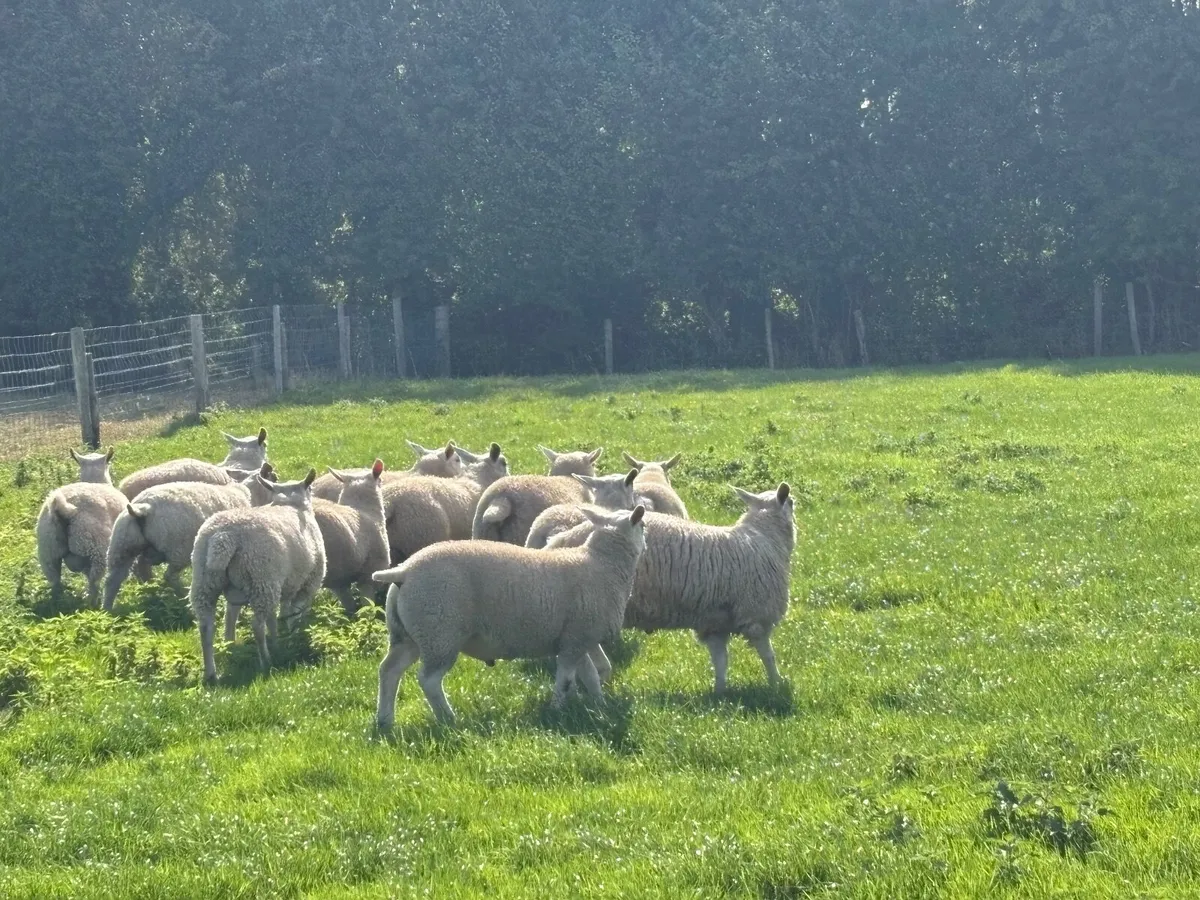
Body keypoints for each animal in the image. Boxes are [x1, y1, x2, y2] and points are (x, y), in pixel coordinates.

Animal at [35, 447, 126, 605]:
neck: (95, 480)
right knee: (94, 581)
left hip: (48, 552)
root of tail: (62, 509)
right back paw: (93, 604)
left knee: (55, 582)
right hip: (96, 549)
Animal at [102, 463, 278, 611]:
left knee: (114, 579)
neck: (250, 494)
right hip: (179, 550)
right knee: (169, 575)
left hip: (122, 546)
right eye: (274, 478)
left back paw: (109, 610)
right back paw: (181, 596)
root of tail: (143, 508)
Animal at [189, 469, 325, 682]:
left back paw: (211, 673)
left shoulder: (277, 585)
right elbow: (295, 614)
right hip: (262, 579)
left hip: (205, 580)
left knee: (205, 626)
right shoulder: (308, 583)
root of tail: (224, 536)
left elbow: (243, 616)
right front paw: (293, 637)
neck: (290, 504)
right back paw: (265, 661)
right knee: (257, 625)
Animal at [373, 504, 647, 726]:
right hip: (440, 630)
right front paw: (557, 710)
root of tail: (404, 572)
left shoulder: (576, 639)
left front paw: (598, 705)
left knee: (389, 671)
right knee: (428, 680)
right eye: (643, 526)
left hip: (409, 634)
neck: (602, 564)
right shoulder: (577, 639)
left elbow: (592, 675)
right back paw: (449, 719)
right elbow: (567, 679)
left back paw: (385, 721)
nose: (646, 544)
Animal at [544, 483, 795, 694]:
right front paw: (776, 685)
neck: (766, 539)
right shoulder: (758, 615)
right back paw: (598, 676)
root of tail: (559, 540)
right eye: (792, 502)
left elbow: (721, 660)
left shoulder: (715, 624)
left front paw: (720, 693)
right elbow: (768, 656)